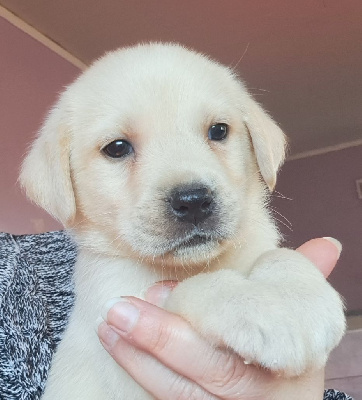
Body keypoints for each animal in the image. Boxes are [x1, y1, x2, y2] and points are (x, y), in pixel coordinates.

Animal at [19, 42, 346, 398]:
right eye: (117, 148)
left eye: (218, 131)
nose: (193, 202)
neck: (196, 264)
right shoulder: (117, 311)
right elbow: (191, 288)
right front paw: (261, 311)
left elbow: (279, 255)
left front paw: (302, 300)